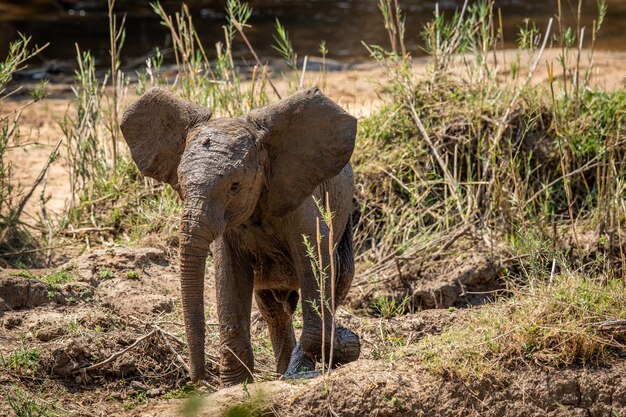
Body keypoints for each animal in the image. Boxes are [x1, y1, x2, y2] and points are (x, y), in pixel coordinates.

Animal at [119, 86, 358, 386]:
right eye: (181, 184)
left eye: (234, 186)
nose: (197, 380)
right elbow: (229, 275)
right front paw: (235, 384)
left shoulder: (302, 206)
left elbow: (316, 262)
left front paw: (330, 352)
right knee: (272, 308)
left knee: (339, 278)